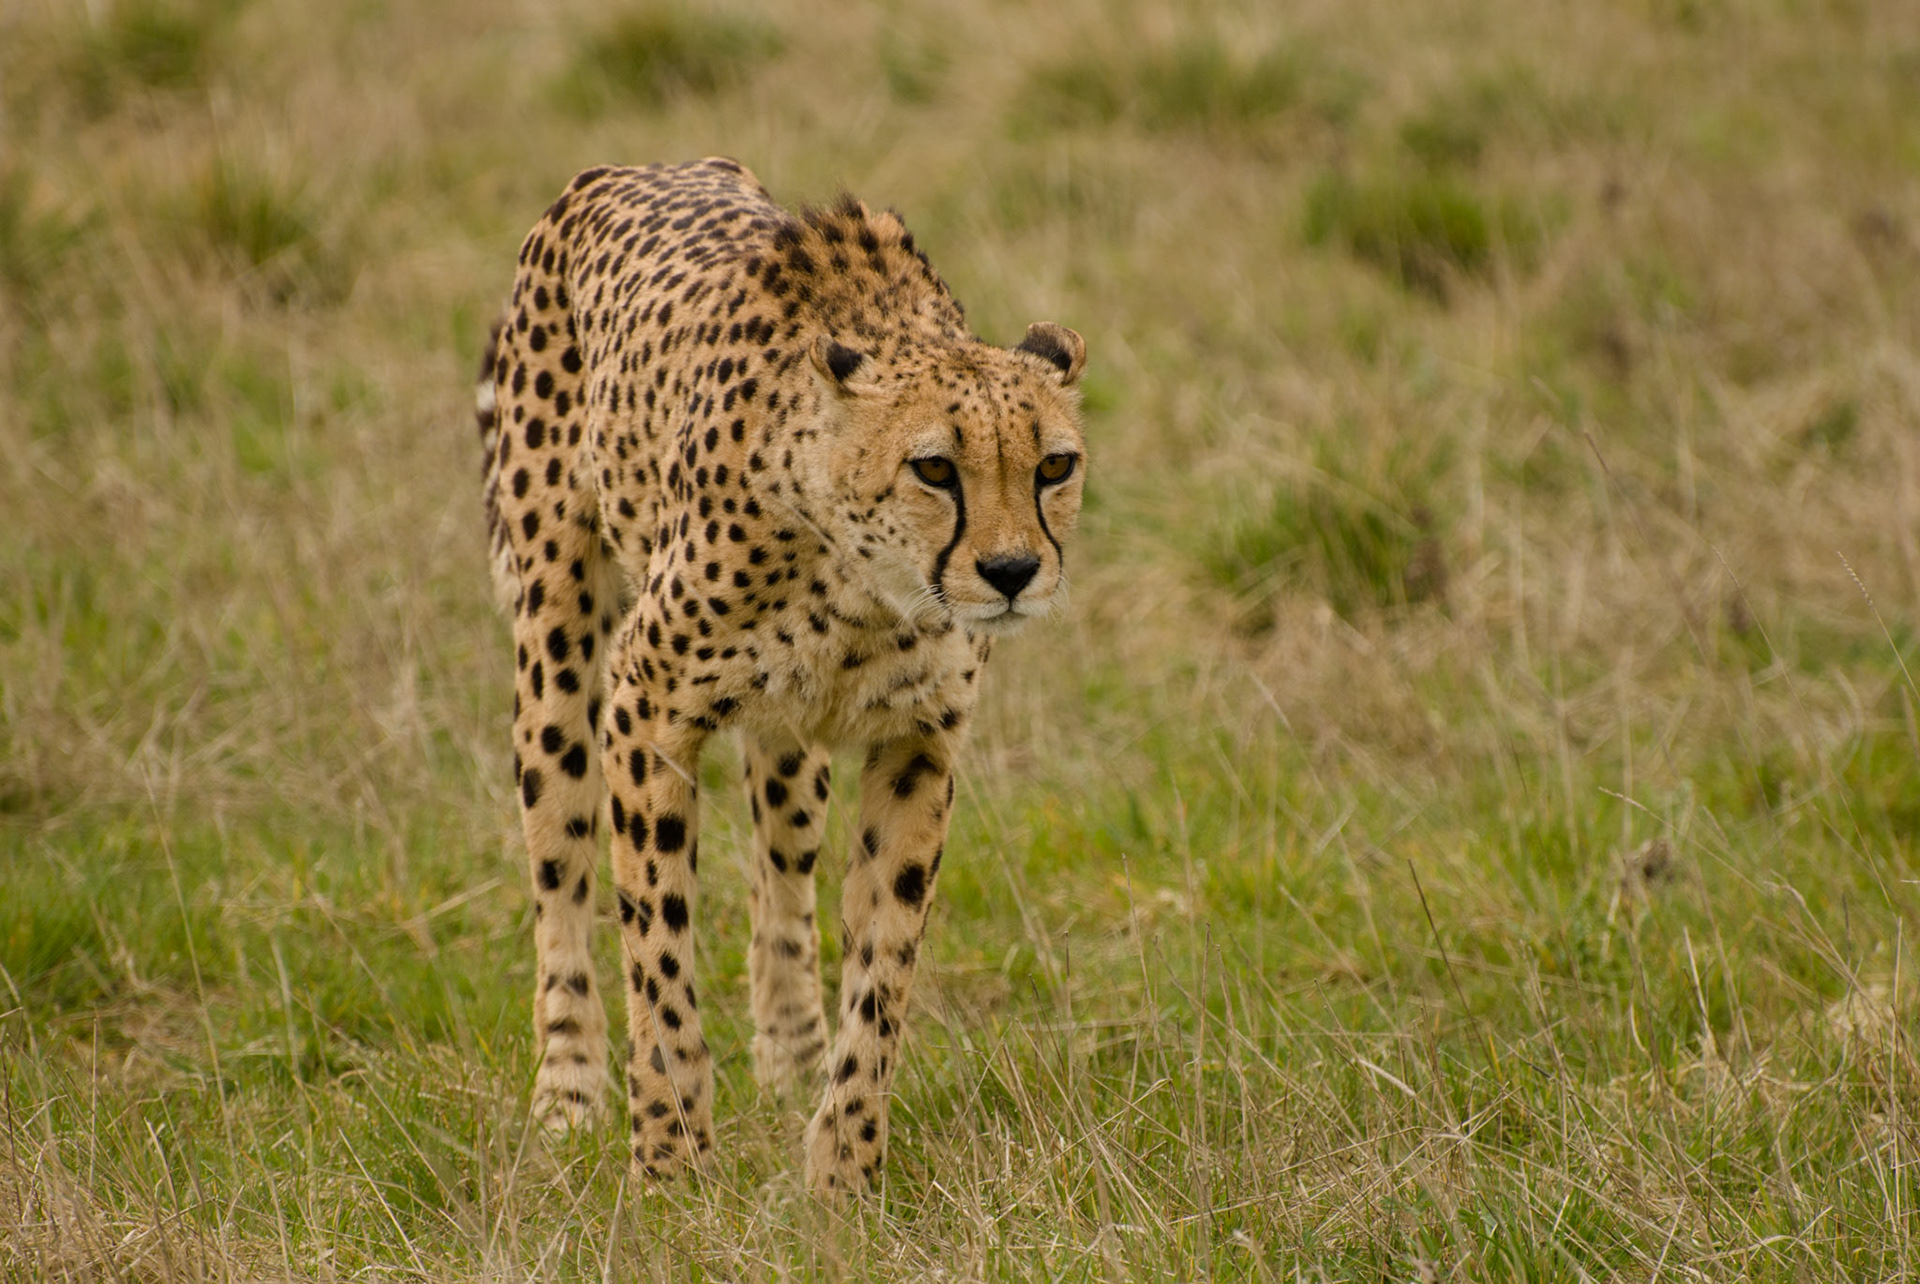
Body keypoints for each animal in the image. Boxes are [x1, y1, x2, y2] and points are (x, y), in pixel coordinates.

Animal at [472, 156, 1088, 1194]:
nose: (1011, 572)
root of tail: (619, 169)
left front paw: (843, 1169)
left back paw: (790, 1055)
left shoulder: (915, 742)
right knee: (559, 872)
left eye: (1054, 466)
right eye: (934, 469)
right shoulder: (643, 706)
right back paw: (569, 1093)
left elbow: (883, 965)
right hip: (554, 644)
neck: (863, 585)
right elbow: (656, 944)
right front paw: (669, 1158)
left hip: (792, 740)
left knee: (782, 878)